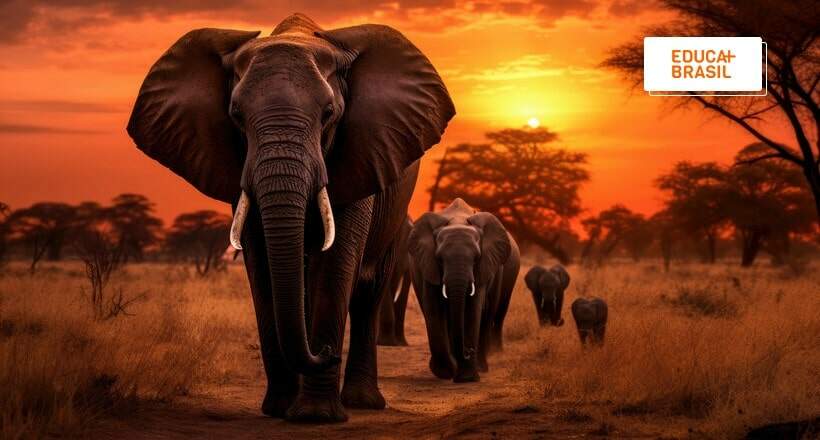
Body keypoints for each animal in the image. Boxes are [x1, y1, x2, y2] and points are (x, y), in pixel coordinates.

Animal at [408, 199, 520, 382]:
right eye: (440, 259)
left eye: (476, 258)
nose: (468, 351)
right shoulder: (427, 265)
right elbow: (433, 309)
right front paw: (446, 372)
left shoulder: (483, 267)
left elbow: (473, 309)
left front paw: (466, 378)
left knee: (490, 315)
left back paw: (481, 367)